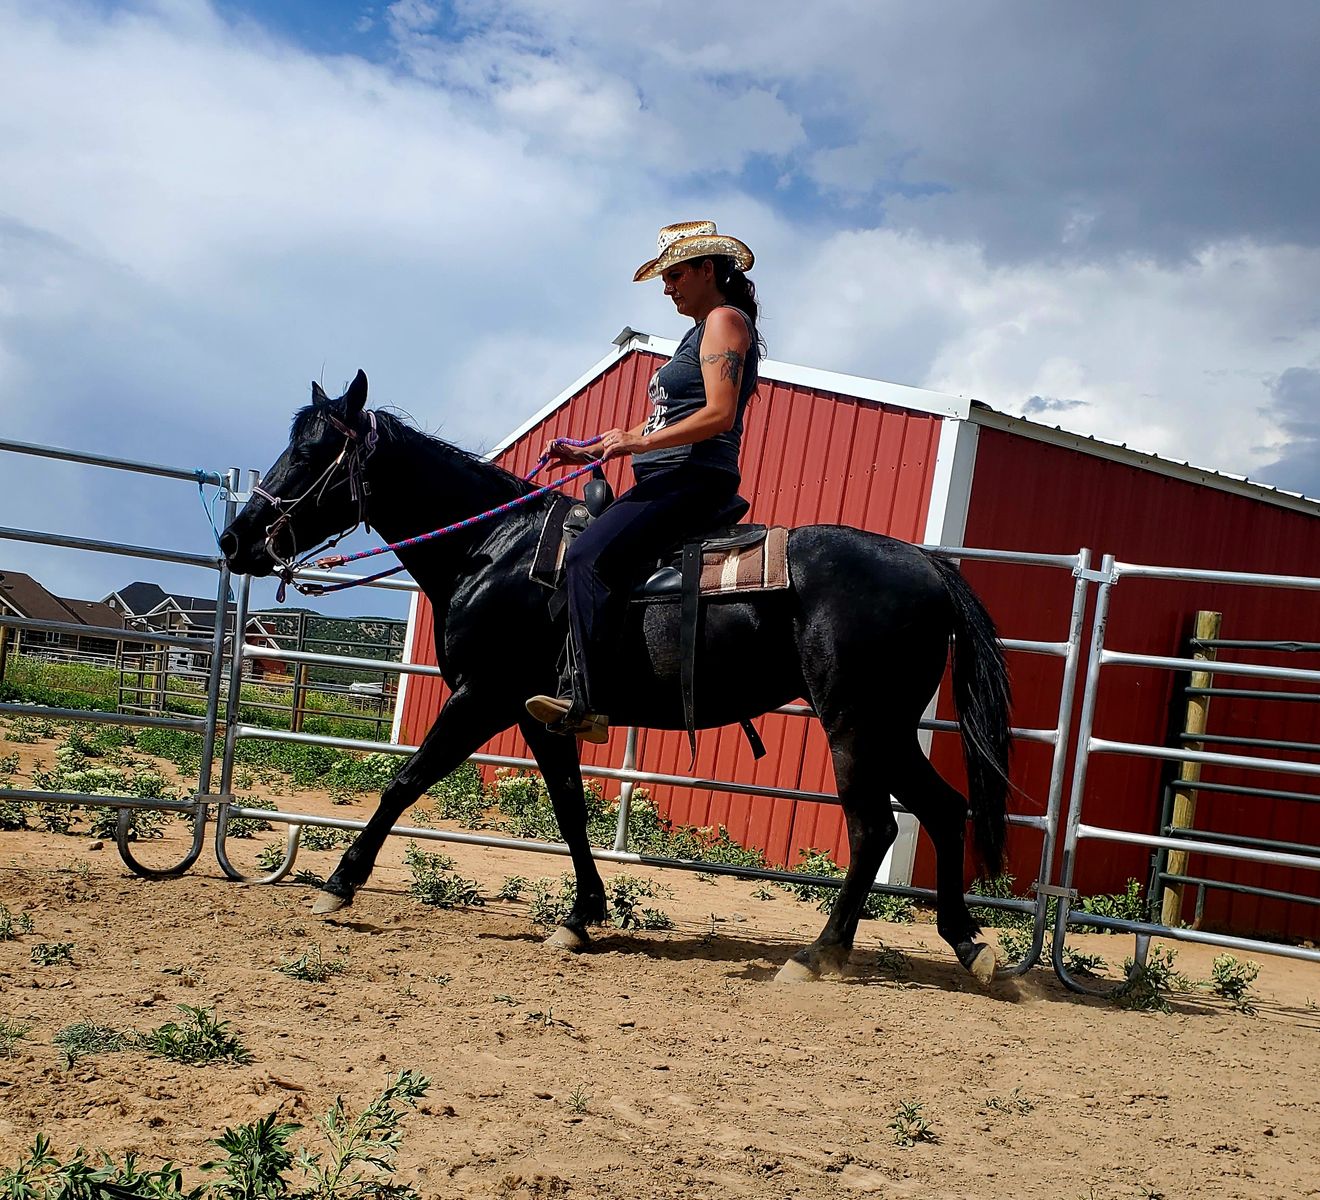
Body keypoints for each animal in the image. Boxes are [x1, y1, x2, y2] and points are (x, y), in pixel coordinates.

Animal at [219, 370, 1012, 984]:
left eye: (313, 452)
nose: (235, 538)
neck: (495, 550)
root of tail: (927, 565)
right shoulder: (540, 713)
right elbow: (570, 808)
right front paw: (581, 916)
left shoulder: (481, 698)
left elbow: (404, 782)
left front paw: (340, 882)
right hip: (890, 728)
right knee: (944, 811)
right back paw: (968, 944)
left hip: (856, 724)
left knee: (875, 826)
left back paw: (817, 955)